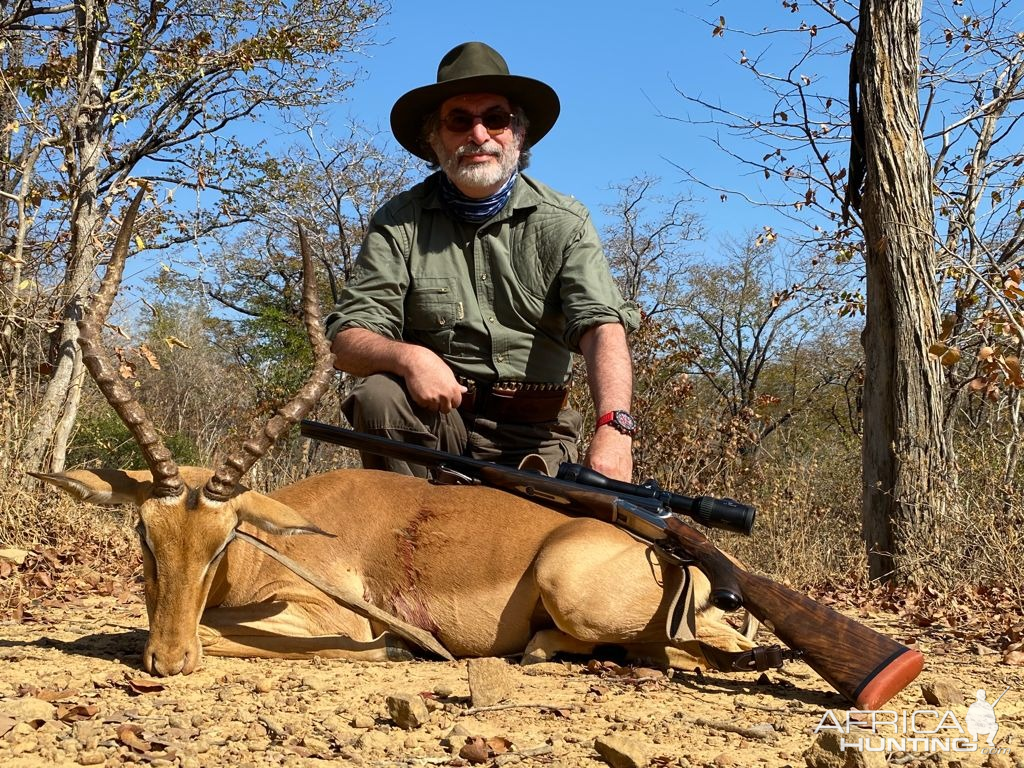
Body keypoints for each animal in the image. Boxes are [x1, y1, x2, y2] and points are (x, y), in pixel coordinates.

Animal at [34, 193, 753, 679]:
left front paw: (392, 647)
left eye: (224, 540)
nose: (169, 658)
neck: (280, 541)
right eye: (144, 534)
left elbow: (216, 630)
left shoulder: (333, 615)